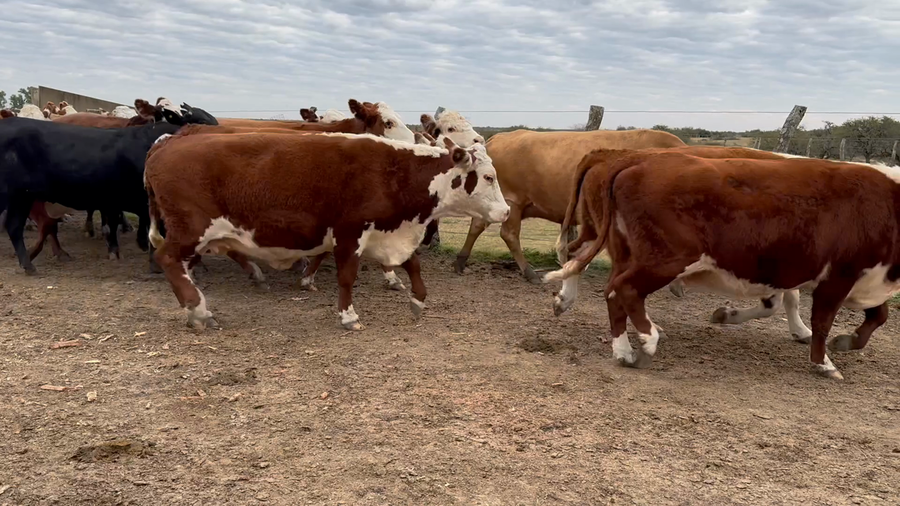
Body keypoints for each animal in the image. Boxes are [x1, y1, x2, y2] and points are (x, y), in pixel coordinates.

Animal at [144, 131, 510, 331]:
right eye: (489, 177)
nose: (505, 211)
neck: (394, 172)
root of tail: (168, 142)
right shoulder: (350, 234)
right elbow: (346, 277)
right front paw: (348, 316)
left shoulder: (386, 231)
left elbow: (412, 264)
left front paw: (417, 300)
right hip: (190, 230)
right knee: (167, 259)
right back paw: (198, 308)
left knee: (182, 266)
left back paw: (195, 307)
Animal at [453, 128, 686, 283]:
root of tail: (500, 137)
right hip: (513, 201)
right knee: (509, 235)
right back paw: (529, 272)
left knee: (477, 226)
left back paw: (460, 262)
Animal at [546, 149, 900, 380]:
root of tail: (633, 159)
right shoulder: (838, 275)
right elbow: (822, 321)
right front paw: (823, 362)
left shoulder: (866, 279)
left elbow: (879, 316)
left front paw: (847, 341)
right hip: (666, 259)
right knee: (623, 287)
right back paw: (647, 340)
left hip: (629, 253)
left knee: (611, 291)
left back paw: (623, 349)